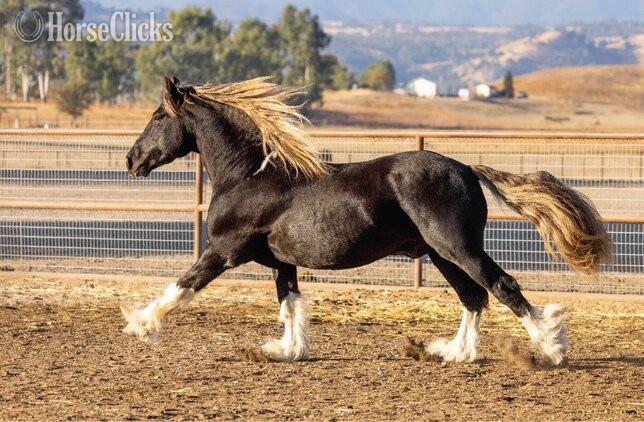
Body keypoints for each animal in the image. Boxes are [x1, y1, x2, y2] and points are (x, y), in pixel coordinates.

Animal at [121, 76, 611, 365]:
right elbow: (290, 303)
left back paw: (550, 347)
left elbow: (181, 287)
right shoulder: (282, 262)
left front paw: (139, 324)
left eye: (158, 115)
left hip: (457, 247)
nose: (131, 160)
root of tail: (467, 169)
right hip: (442, 255)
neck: (250, 175)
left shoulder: (223, 252)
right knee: (474, 297)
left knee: (501, 287)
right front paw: (286, 349)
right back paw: (453, 352)